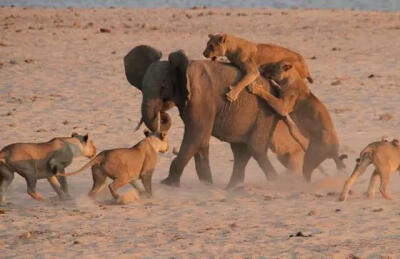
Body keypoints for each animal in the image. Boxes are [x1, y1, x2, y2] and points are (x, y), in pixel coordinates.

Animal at [125, 45, 300, 189]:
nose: (162, 114)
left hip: (266, 113)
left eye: (162, 87)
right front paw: (206, 184)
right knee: (240, 152)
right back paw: (232, 187)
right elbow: (201, 141)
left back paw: (276, 182)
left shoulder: (201, 97)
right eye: (141, 86)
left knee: (255, 148)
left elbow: (196, 134)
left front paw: (168, 184)